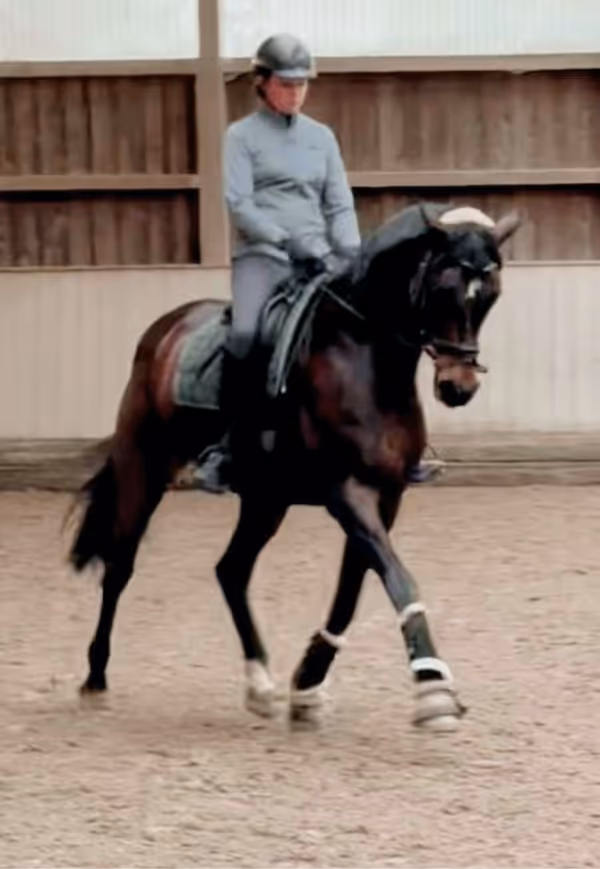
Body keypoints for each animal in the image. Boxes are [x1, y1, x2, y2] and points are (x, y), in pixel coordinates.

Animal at [69, 202, 520, 732]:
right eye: (442, 288)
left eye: (490, 294)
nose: (458, 387)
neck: (366, 357)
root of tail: (166, 328)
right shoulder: (346, 491)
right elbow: (398, 578)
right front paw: (434, 688)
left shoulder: (386, 494)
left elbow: (352, 591)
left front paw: (307, 684)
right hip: (146, 469)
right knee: (120, 566)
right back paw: (95, 680)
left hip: (266, 498)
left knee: (231, 570)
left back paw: (259, 683)